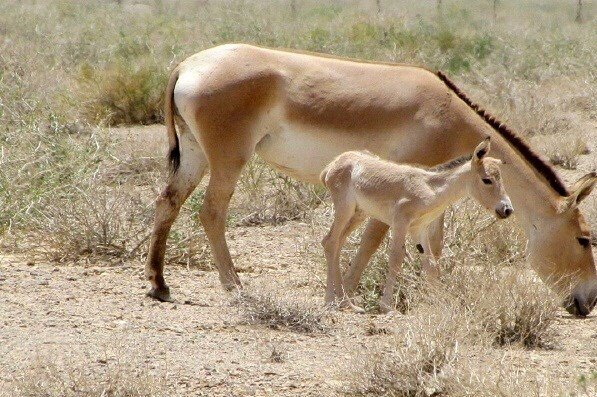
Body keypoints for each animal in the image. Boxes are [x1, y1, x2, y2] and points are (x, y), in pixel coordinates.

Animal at [322, 138, 512, 310]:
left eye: (501, 178)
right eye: (487, 180)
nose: (508, 209)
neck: (431, 189)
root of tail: (333, 164)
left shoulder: (418, 228)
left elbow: (431, 266)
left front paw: (439, 303)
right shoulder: (400, 222)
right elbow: (396, 259)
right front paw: (386, 306)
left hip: (358, 214)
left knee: (336, 243)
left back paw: (346, 302)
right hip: (344, 209)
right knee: (330, 242)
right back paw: (330, 300)